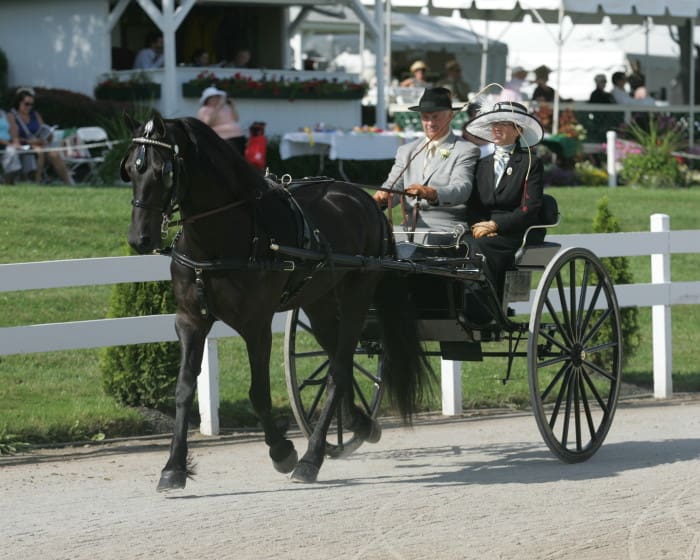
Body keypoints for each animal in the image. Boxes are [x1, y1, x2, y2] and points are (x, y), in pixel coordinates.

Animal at [120, 115, 432, 490]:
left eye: (163, 171)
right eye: (129, 169)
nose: (140, 238)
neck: (222, 238)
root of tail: (364, 199)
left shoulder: (256, 325)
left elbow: (258, 393)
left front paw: (282, 452)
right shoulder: (190, 320)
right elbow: (183, 390)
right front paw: (174, 466)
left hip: (357, 293)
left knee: (339, 369)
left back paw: (312, 457)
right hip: (319, 301)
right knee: (336, 358)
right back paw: (361, 424)